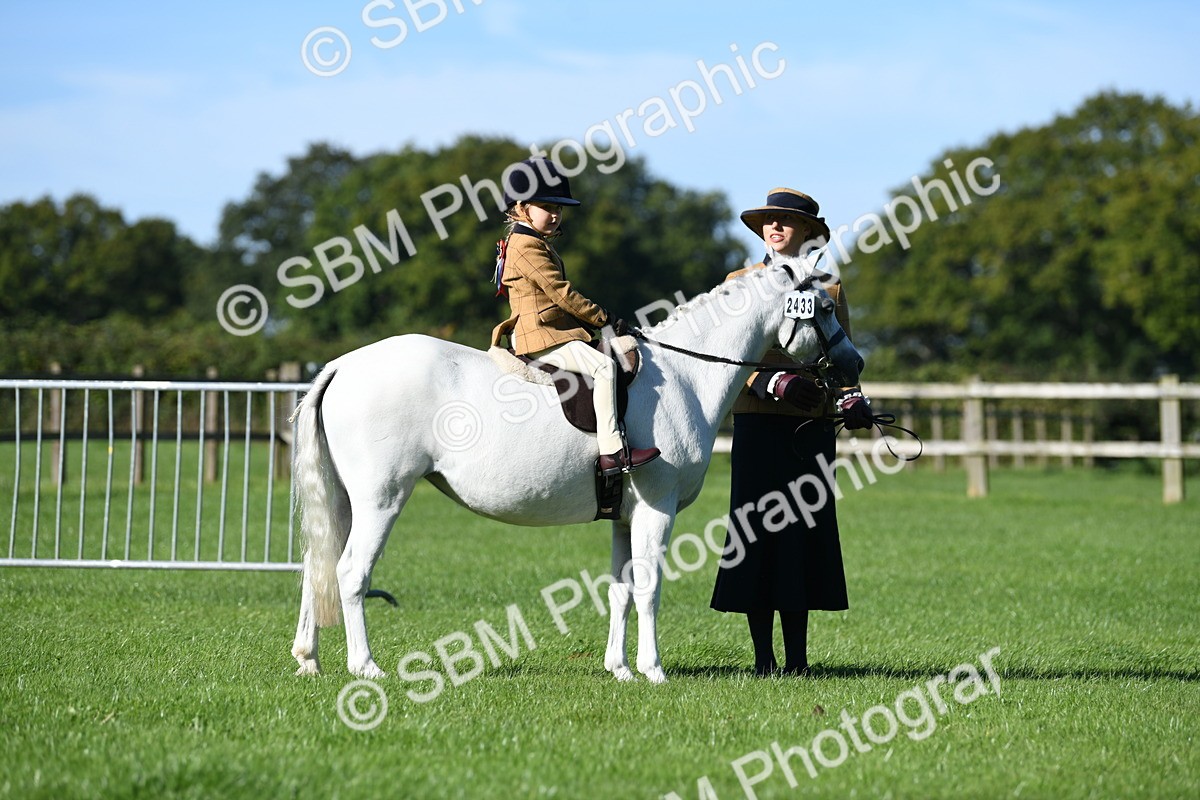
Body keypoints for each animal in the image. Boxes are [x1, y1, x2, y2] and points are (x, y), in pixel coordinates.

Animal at [290, 253, 864, 684]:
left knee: (318, 565)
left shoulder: (625, 518)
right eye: (825, 307)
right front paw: (653, 670)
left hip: (345, 502)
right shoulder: (656, 510)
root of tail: (344, 365)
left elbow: (621, 589)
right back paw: (365, 667)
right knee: (349, 572)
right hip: (381, 500)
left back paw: (309, 659)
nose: (854, 363)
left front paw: (620, 668)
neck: (684, 375)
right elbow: (650, 586)